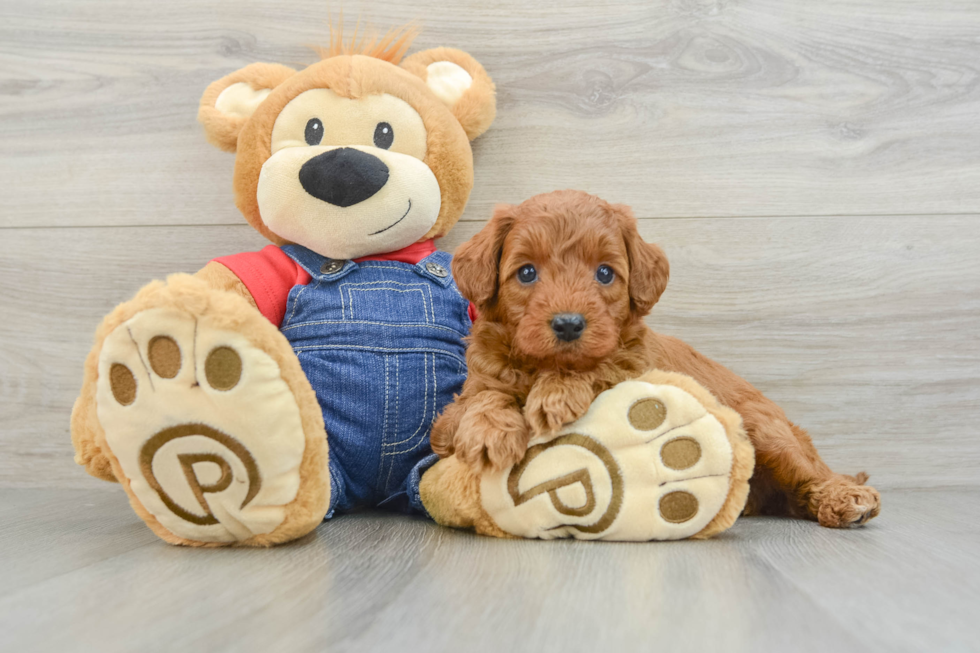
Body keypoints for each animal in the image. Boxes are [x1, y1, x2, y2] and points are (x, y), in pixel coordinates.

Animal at [432, 187, 884, 524]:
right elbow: (478, 399)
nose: (569, 324)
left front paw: (556, 394)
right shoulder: (461, 401)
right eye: (526, 272)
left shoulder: (635, 370)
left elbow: (602, 366)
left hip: (768, 430)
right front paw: (490, 430)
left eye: (604, 273)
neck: (539, 365)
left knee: (813, 473)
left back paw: (846, 497)